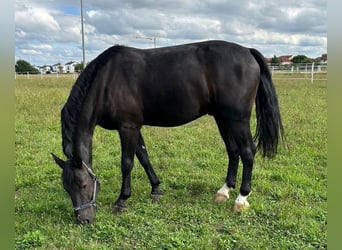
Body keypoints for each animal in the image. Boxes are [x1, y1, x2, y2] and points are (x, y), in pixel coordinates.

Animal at [52, 40, 284, 224]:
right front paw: (156, 189)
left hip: (238, 119)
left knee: (247, 151)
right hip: (222, 118)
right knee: (233, 151)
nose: (84, 219)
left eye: (83, 184)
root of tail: (247, 51)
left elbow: (127, 164)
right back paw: (224, 191)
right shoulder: (134, 127)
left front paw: (122, 200)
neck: (107, 81)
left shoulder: (128, 127)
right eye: (66, 187)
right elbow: (144, 157)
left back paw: (241, 198)